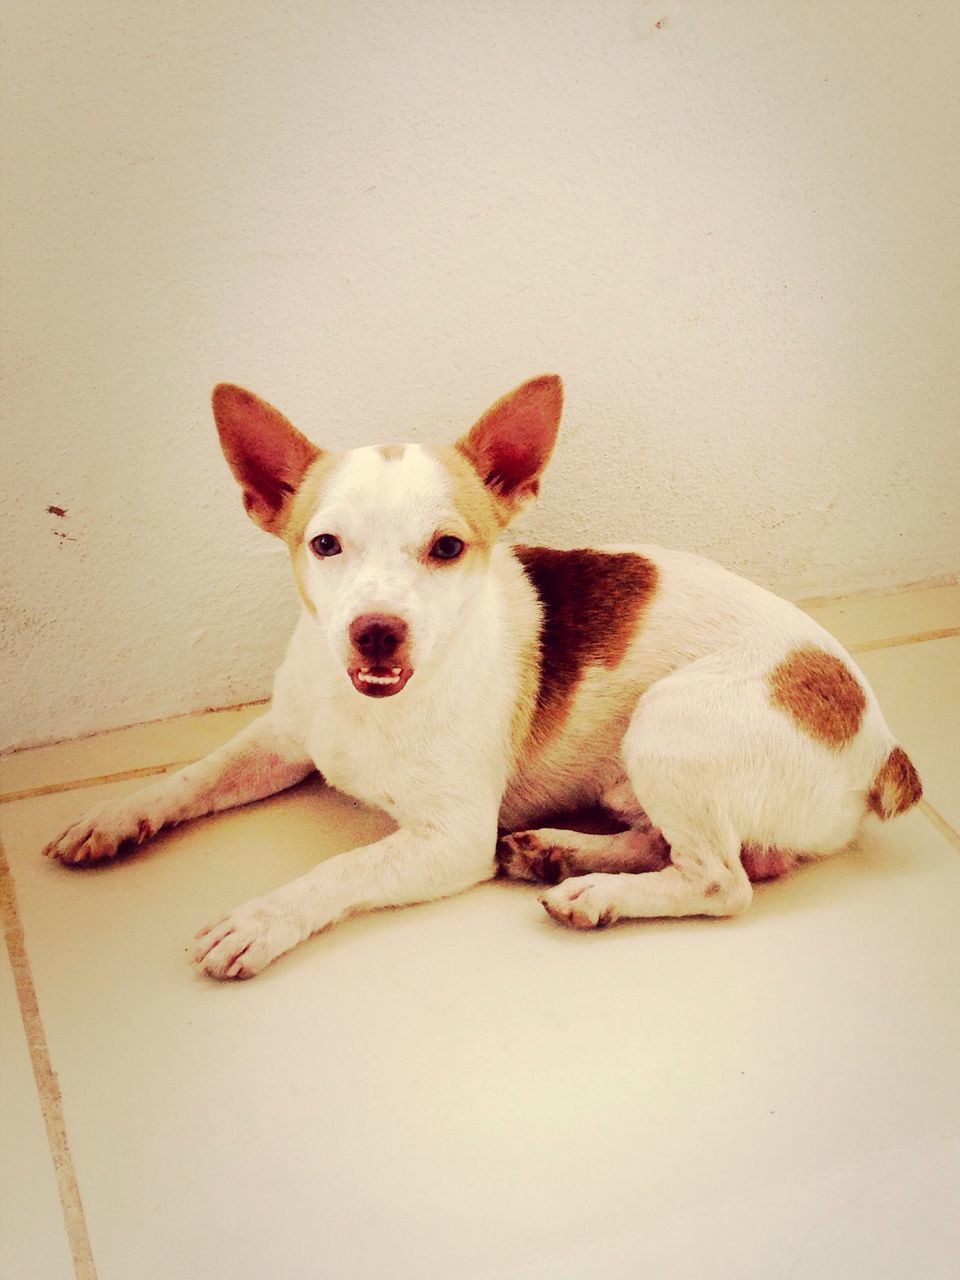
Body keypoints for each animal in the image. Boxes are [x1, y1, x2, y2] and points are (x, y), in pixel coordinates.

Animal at [45, 373, 926, 972]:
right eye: (324, 544)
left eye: (446, 548)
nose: (375, 632)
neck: (377, 709)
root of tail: (883, 746)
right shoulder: (283, 737)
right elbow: (191, 777)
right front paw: (114, 816)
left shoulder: (450, 838)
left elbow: (341, 867)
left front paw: (264, 919)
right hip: (638, 775)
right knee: (689, 846)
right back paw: (560, 854)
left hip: (669, 722)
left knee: (721, 880)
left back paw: (595, 891)